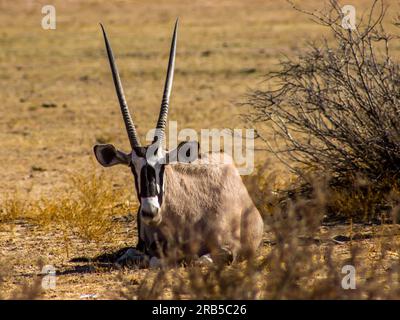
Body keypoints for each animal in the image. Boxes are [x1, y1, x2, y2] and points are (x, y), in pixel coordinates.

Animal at [93, 18, 262, 266]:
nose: (150, 212)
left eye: (162, 165)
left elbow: (197, 260)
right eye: (132, 167)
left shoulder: (228, 249)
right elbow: (137, 256)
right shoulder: (140, 248)